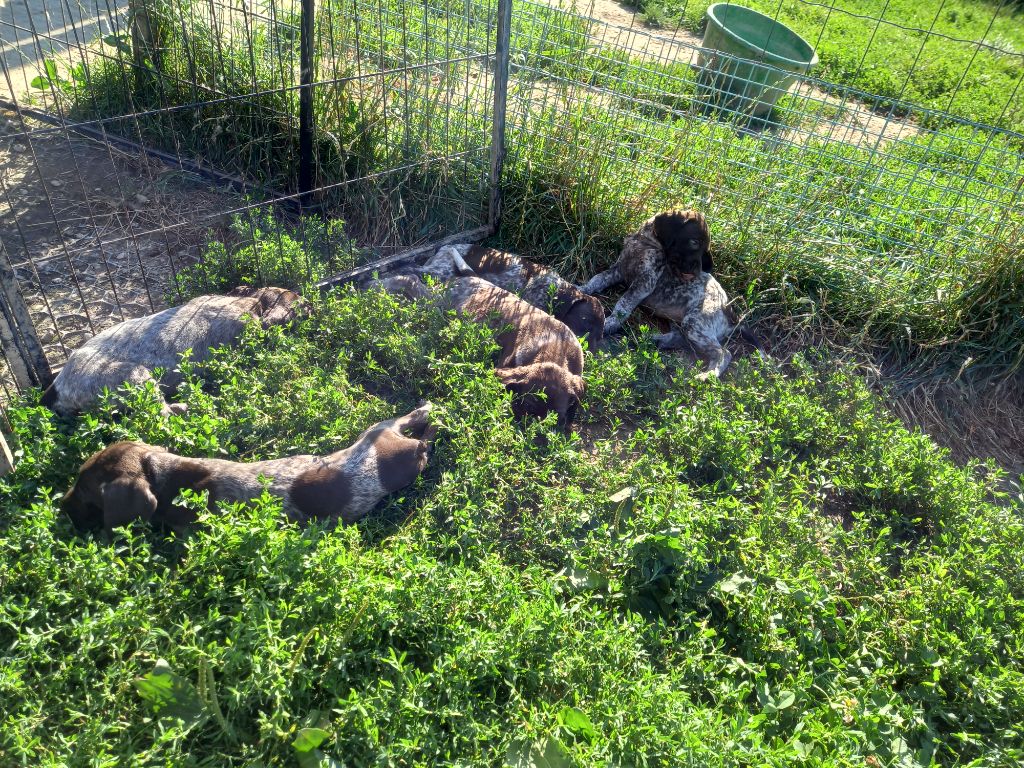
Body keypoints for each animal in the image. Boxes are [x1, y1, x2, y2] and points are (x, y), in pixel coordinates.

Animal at [59, 403, 436, 536]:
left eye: (85, 489)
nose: (60, 506)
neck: (167, 474)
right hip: (375, 432)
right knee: (405, 422)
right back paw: (424, 413)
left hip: (402, 457)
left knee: (421, 442)